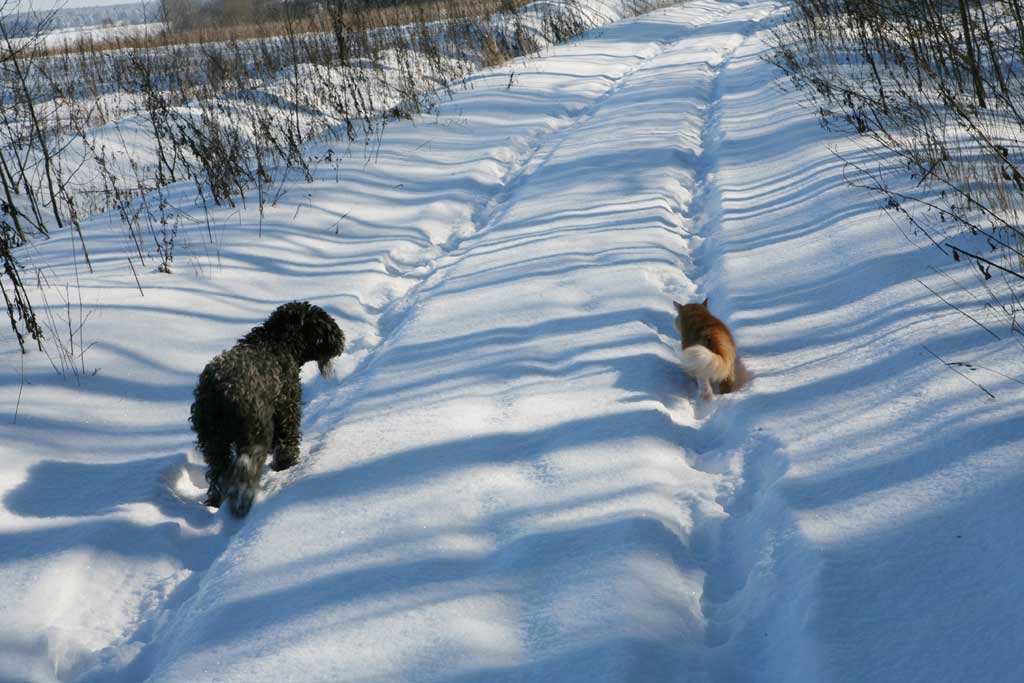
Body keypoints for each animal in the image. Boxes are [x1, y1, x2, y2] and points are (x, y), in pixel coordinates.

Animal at [192, 301, 348, 516]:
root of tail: (219, 389)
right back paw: (243, 502)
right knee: (245, 469)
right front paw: (286, 466)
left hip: (214, 443)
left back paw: (217, 502)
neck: (279, 343)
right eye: (322, 324)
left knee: (218, 475)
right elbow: (287, 441)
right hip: (255, 435)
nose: (340, 339)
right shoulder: (288, 411)